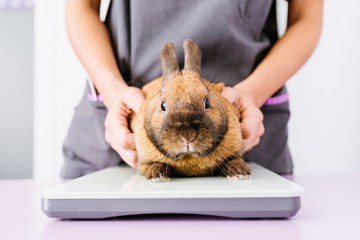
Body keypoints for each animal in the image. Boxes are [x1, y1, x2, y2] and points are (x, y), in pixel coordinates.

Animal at [129, 39, 250, 182]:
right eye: (163, 105)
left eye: (207, 103)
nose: (187, 137)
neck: (189, 156)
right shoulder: (144, 162)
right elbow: (152, 164)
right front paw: (157, 175)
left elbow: (232, 160)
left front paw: (240, 172)